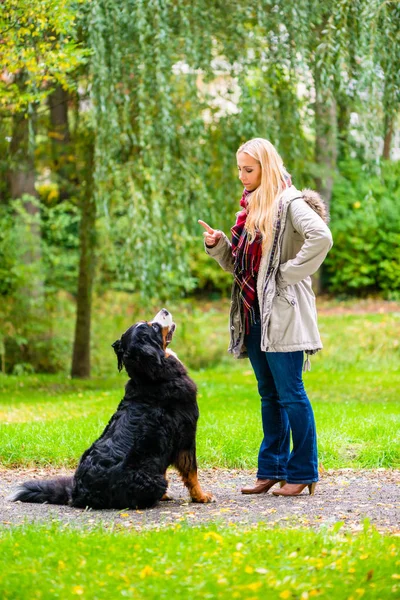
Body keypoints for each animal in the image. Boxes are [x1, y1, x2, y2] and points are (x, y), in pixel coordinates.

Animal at [9, 310, 212, 510]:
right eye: (154, 326)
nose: (165, 310)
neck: (150, 377)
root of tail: (76, 493)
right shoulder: (186, 434)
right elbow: (192, 471)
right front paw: (201, 496)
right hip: (154, 480)